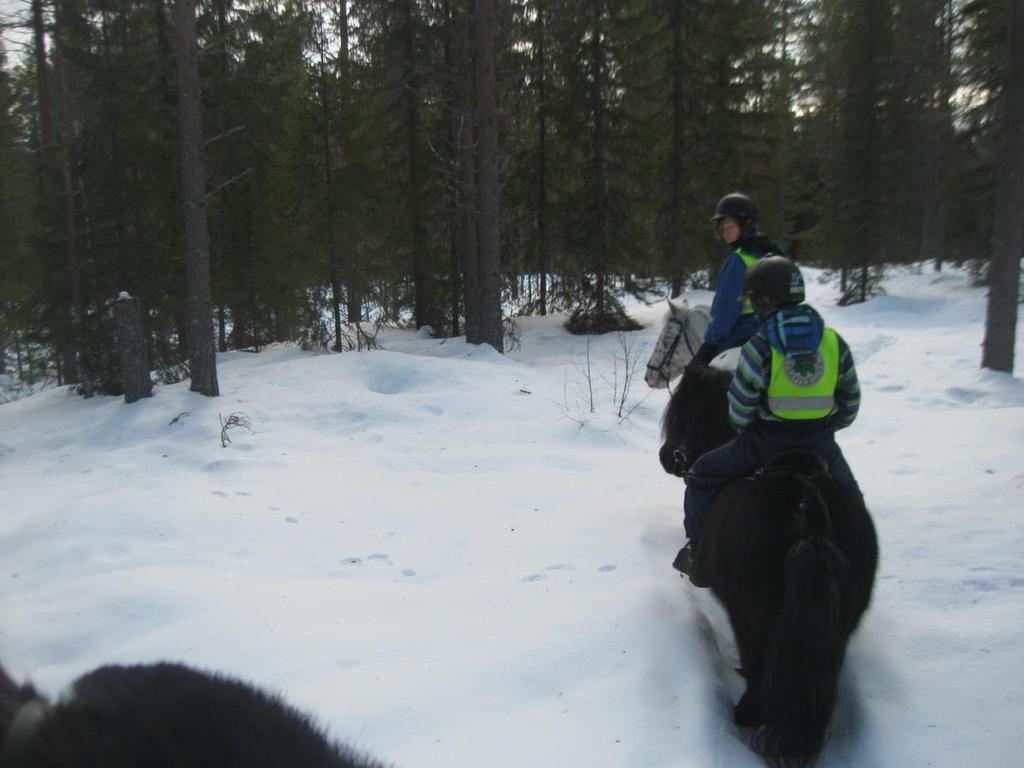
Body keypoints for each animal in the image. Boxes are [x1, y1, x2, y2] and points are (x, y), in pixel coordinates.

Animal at [663, 364, 880, 765]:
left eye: (684, 416)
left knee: (758, 668)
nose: (667, 457)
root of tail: (811, 514)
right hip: (840, 625)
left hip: (751, 617)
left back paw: (747, 712)